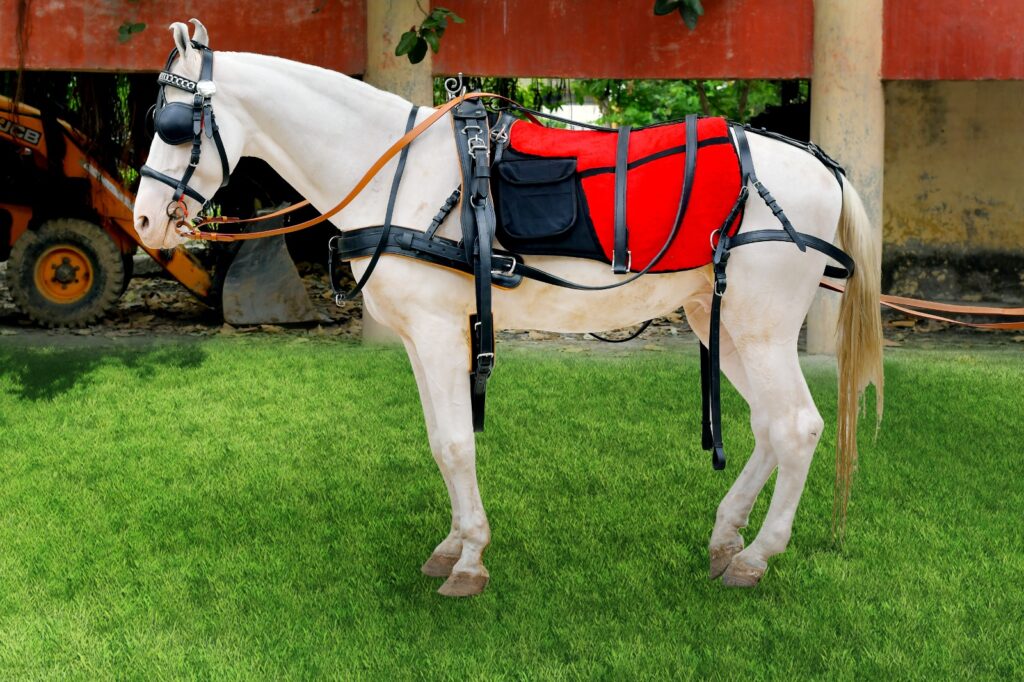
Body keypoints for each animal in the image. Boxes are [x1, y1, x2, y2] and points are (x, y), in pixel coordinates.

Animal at [132, 20, 883, 596]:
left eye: (175, 127)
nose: (142, 221)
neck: (398, 170)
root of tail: (821, 164)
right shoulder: (426, 338)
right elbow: (440, 439)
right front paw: (453, 544)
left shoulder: (440, 332)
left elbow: (454, 442)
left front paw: (468, 560)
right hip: (714, 318)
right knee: (768, 426)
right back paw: (728, 536)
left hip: (759, 327)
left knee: (798, 426)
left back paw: (758, 556)